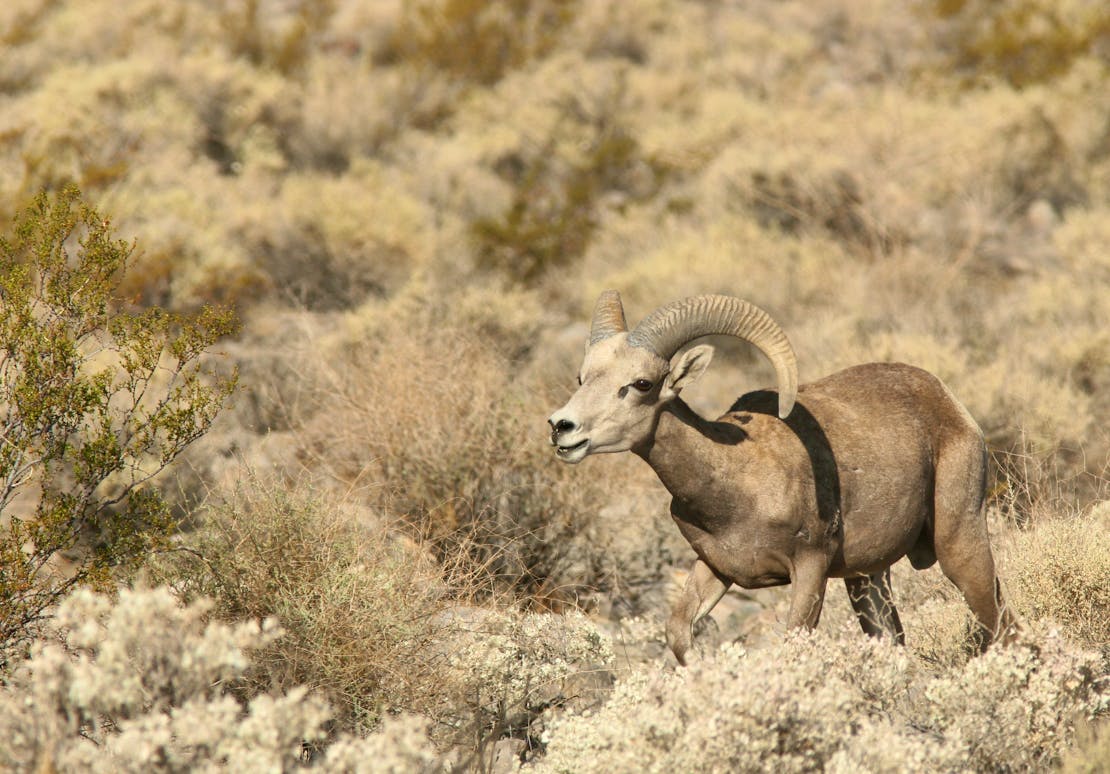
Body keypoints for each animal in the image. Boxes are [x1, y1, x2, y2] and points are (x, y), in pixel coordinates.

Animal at [547, 291, 1016, 664]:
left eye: (642, 383)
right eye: (581, 377)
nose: (561, 427)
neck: (739, 478)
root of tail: (950, 404)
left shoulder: (810, 568)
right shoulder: (715, 569)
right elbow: (679, 632)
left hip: (959, 547)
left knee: (1000, 622)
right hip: (867, 580)